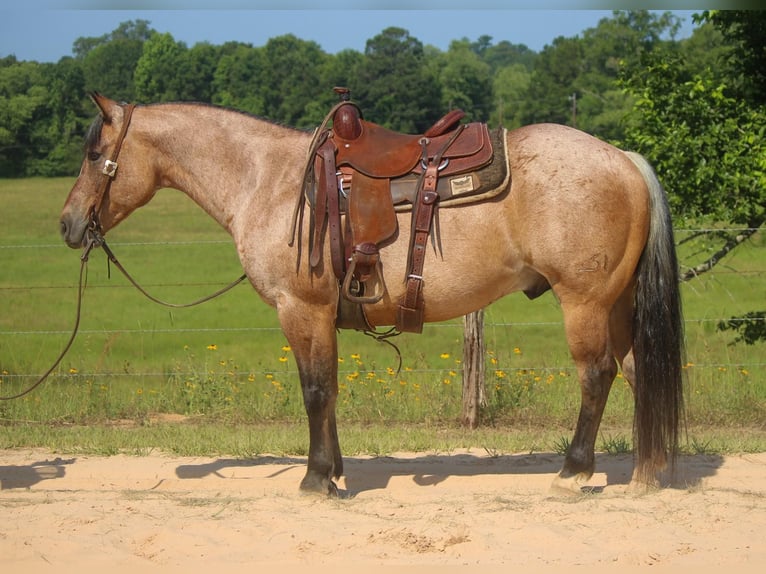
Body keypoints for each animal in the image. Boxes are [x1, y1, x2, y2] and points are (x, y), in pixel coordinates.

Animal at [58, 92, 684, 498]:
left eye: (92, 154)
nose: (67, 224)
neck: (266, 180)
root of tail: (624, 159)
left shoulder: (301, 310)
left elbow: (314, 391)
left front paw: (314, 479)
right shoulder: (321, 317)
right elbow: (331, 391)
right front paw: (334, 471)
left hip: (585, 302)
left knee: (597, 375)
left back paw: (573, 472)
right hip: (618, 304)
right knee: (636, 370)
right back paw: (645, 474)